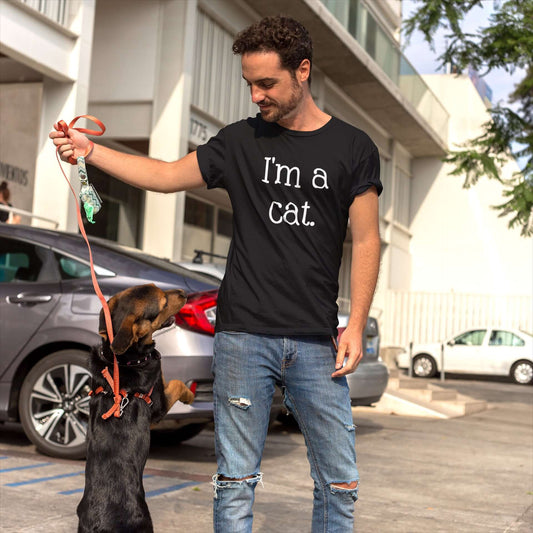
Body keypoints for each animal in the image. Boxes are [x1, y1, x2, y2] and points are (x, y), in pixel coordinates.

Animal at [78, 284, 194, 528]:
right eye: (163, 303)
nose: (184, 293)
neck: (122, 360)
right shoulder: (159, 403)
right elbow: (177, 384)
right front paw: (189, 396)